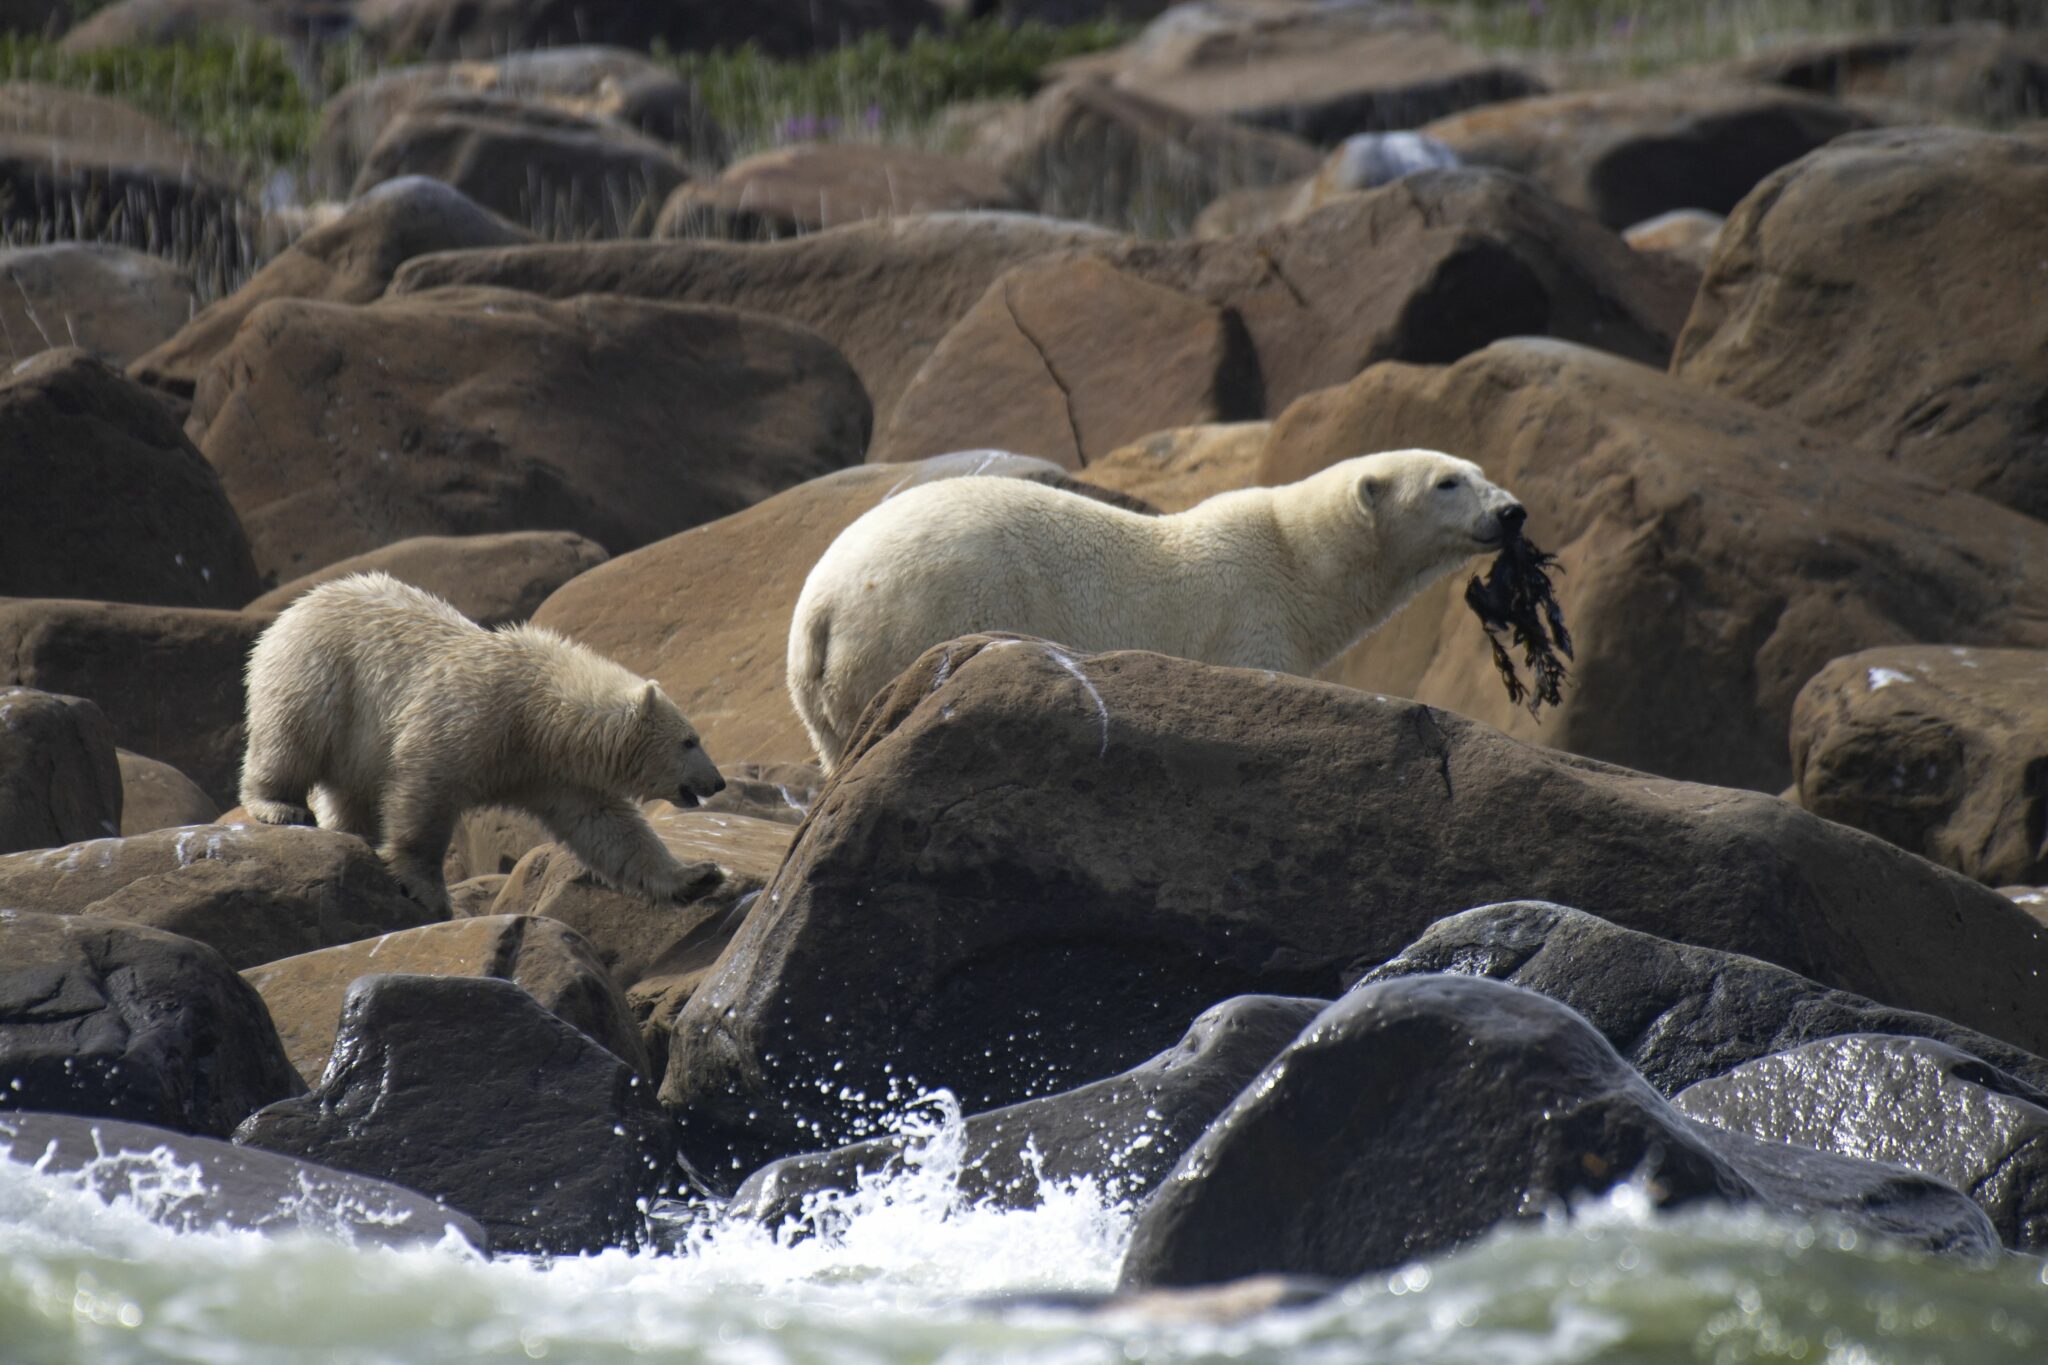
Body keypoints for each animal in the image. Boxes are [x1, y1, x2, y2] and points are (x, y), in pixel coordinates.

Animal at [239, 572, 726, 913]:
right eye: (689, 741)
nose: (718, 782)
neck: (535, 710)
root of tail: (303, 601)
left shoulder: (552, 771)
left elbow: (609, 827)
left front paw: (697, 875)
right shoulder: (467, 718)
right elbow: (423, 794)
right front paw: (426, 889)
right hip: (321, 674)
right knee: (290, 739)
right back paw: (279, 806)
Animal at [787, 448, 1525, 771]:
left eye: (1480, 470)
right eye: (1447, 482)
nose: (1512, 511)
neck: (1296, 555)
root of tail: (820, 607)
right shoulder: (1250, 621)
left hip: (822, 697)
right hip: (924, 608)